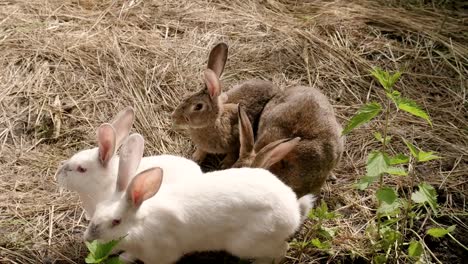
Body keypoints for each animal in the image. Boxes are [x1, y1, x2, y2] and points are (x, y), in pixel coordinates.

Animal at [83, 132, 314, 264]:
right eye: (98, 208)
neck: (141, 225)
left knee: (281, 251)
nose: (87, 238)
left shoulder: (161, 256)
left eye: (116, 221)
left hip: (248, 244)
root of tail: (293, 212)